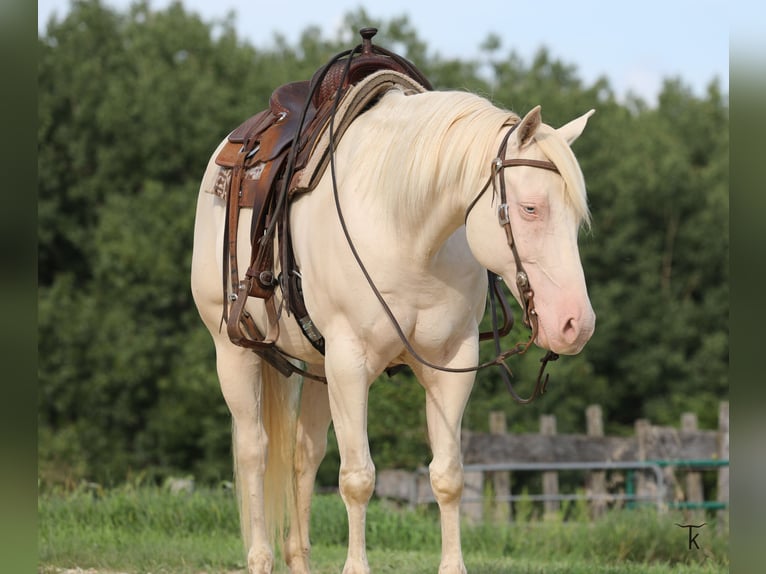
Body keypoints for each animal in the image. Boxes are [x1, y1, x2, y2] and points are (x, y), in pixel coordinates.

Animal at [191, 84, 596, 574]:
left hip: (318, 369)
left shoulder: (450, 365)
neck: (406, 229)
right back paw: (260, 558)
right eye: (531, 208)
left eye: (576, 218)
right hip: (235, 353)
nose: (576, 324)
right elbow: (358, 477)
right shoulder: (350, 364)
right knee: (255, 451)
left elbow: (448, 475)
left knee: (304, 456)